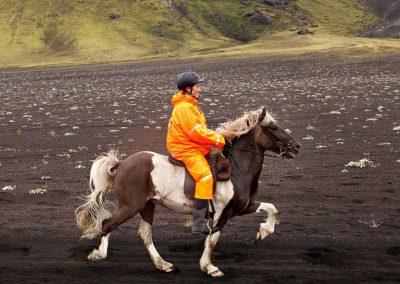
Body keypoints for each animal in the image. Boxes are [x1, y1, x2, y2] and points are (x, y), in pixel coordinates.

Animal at [75, 106, 300, 278]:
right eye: (273, 127)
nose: (296, 146)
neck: (236, 168)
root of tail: (121, 164)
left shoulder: (243, 206)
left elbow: (272, 208)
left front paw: (263, 231)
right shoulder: (222, 212)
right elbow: (213, 238)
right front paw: (209, 267)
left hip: (147, 206)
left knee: (145, 234)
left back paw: (163, 265)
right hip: (131, 206)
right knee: (107, 224)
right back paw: (98, 254)